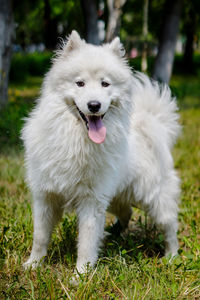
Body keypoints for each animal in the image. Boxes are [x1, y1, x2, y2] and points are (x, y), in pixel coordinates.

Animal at [21, 31, 180, 274]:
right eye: (80, 83)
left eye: (105, 84)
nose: (94, 105)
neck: (76, 139)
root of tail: (151, 121)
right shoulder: (46, 195)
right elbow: (40, 236)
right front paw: (33, 265)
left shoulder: (91, 200)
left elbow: (86, 243)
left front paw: (81, 274)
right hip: (115, 195)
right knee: (127, 212)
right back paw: (113, 234)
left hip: (153, 197)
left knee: (170, 225)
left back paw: (171, 256)